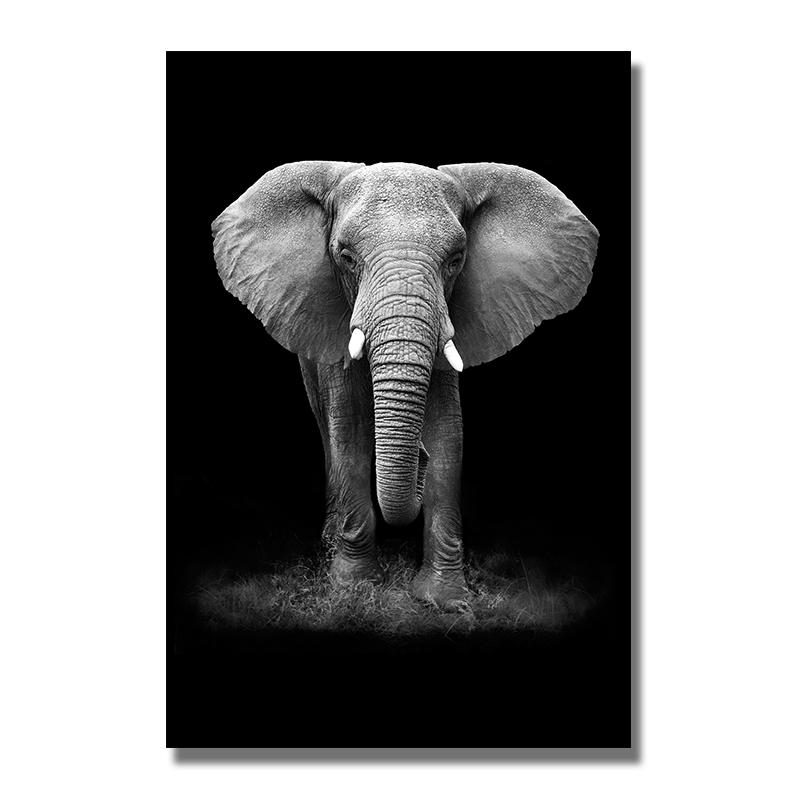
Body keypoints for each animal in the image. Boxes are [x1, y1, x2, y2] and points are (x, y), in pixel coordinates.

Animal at [212, 161, 598, 608]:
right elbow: (351, 432)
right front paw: (355, 587)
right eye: (346, 257)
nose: (419, 457)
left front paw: (445, 600)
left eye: (456, 259)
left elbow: (449, 435)